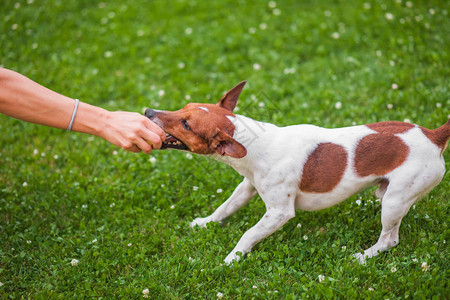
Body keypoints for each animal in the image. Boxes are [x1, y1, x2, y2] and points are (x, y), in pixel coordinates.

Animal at [146, 81, 448, 264]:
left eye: (186, 124)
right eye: (183, 108)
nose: (148, 110)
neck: (252, 143)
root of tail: (433, 136)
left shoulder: (279, 213)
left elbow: (249, 234)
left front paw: (233, 257)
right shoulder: (247, 187)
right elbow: (225, 207)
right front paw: (205, 222)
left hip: (395, 201)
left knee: (390, 239)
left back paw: (364, 256)